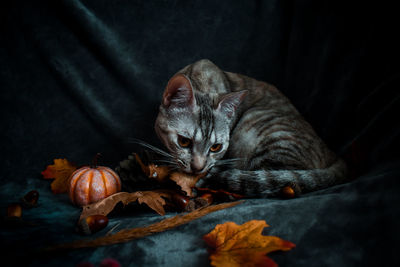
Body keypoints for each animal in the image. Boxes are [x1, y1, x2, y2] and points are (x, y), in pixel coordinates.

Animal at [153, 59, 346, 198]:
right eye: (183, 141)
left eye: (216, 147)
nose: (198, 168)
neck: (201, 80)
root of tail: (332, 154)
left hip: (257, 124)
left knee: (281, 179)